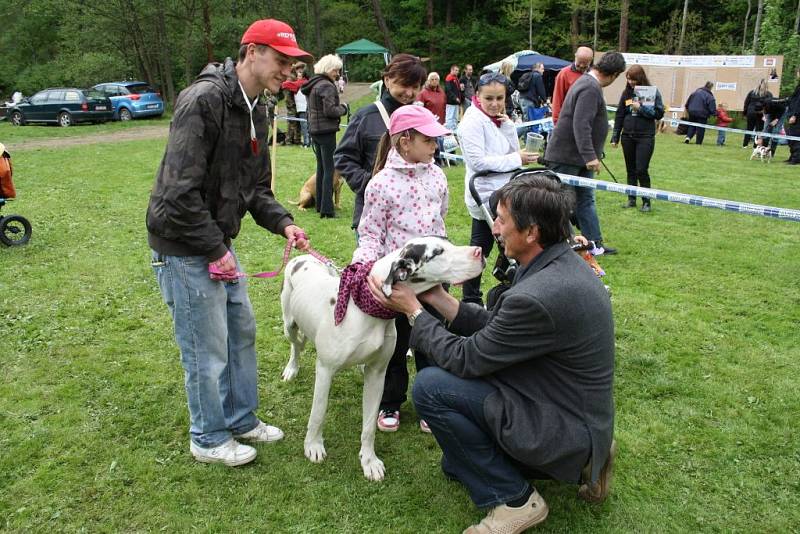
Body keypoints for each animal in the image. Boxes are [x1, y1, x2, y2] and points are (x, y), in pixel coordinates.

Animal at [278, 238, 484, 482]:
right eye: (438, 252)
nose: (480, 252)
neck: (367, 310)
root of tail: (302, 257)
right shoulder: (325, 370)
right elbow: (318, 413)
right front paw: (313, 446)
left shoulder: (377, 375)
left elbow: (369, 426)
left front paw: (369, 461)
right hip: (288, 324)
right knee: (295, 345)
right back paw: (292, 368)